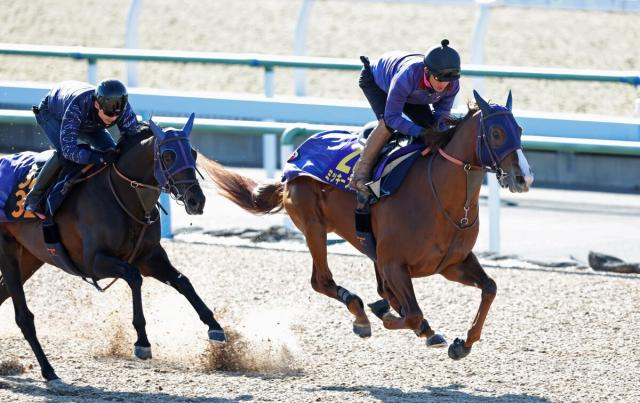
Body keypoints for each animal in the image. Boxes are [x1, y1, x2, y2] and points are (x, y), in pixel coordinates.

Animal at [0, 113, 225, 382]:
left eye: (193, 153)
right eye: (168, 155)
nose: (196, 201)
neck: (122, 194)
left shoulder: (149, 257)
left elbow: (182, 281)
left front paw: (215, 327)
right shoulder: (94, 262)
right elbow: (134, 277)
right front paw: (142, 342)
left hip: (30, 257)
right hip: (8, 252)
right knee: (23, 316)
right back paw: (48, 370)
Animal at [202, 90, 532, 360]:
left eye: (519, 129)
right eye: (497, 132)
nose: (524, 177)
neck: (442, 200)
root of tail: (295, 158)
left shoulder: (451, 263)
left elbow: (490, 287)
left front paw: (463, 343)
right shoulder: (395, 263)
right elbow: (413, 313)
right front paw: (395, 320)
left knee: (380, 288)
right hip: (314, 227)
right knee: (322, 281)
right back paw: (362, 315)